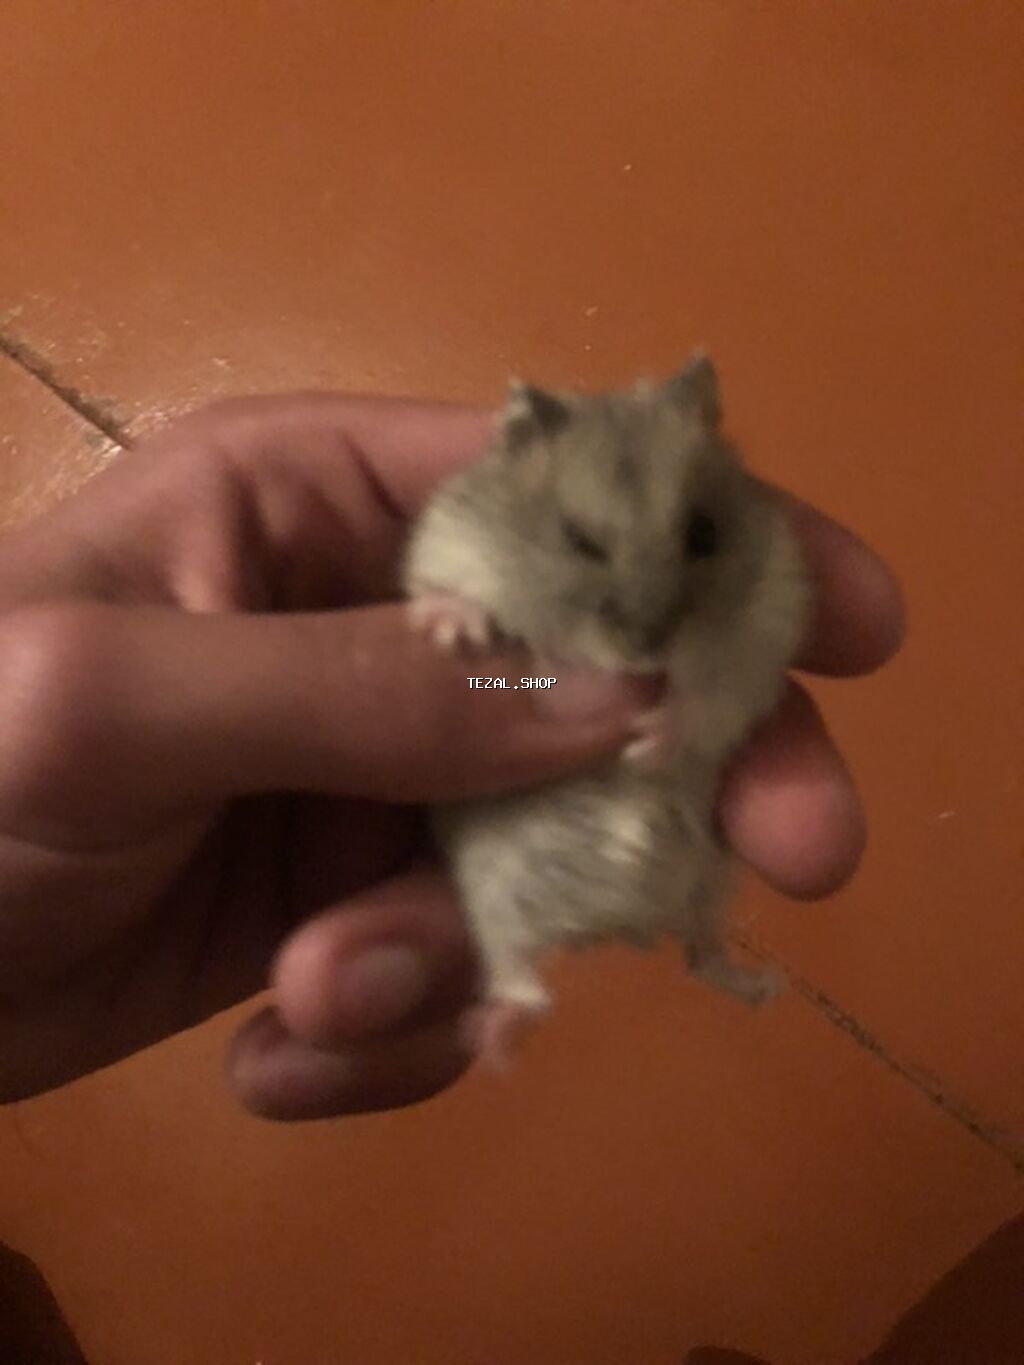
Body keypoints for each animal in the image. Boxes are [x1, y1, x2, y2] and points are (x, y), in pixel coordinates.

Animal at [403, 354, 811, 1064]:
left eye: (703, 532)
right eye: (578, 541)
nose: (647, 648)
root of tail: (620, 925)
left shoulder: (762, 633)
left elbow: (709, 698)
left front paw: (647, 736)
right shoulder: (451, 545)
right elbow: (452, 590)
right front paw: (453, 631)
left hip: (712, 879)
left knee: (702, 958)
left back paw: (765, 987)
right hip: (492, 892)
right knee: (524, 985)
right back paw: (486, 1040)